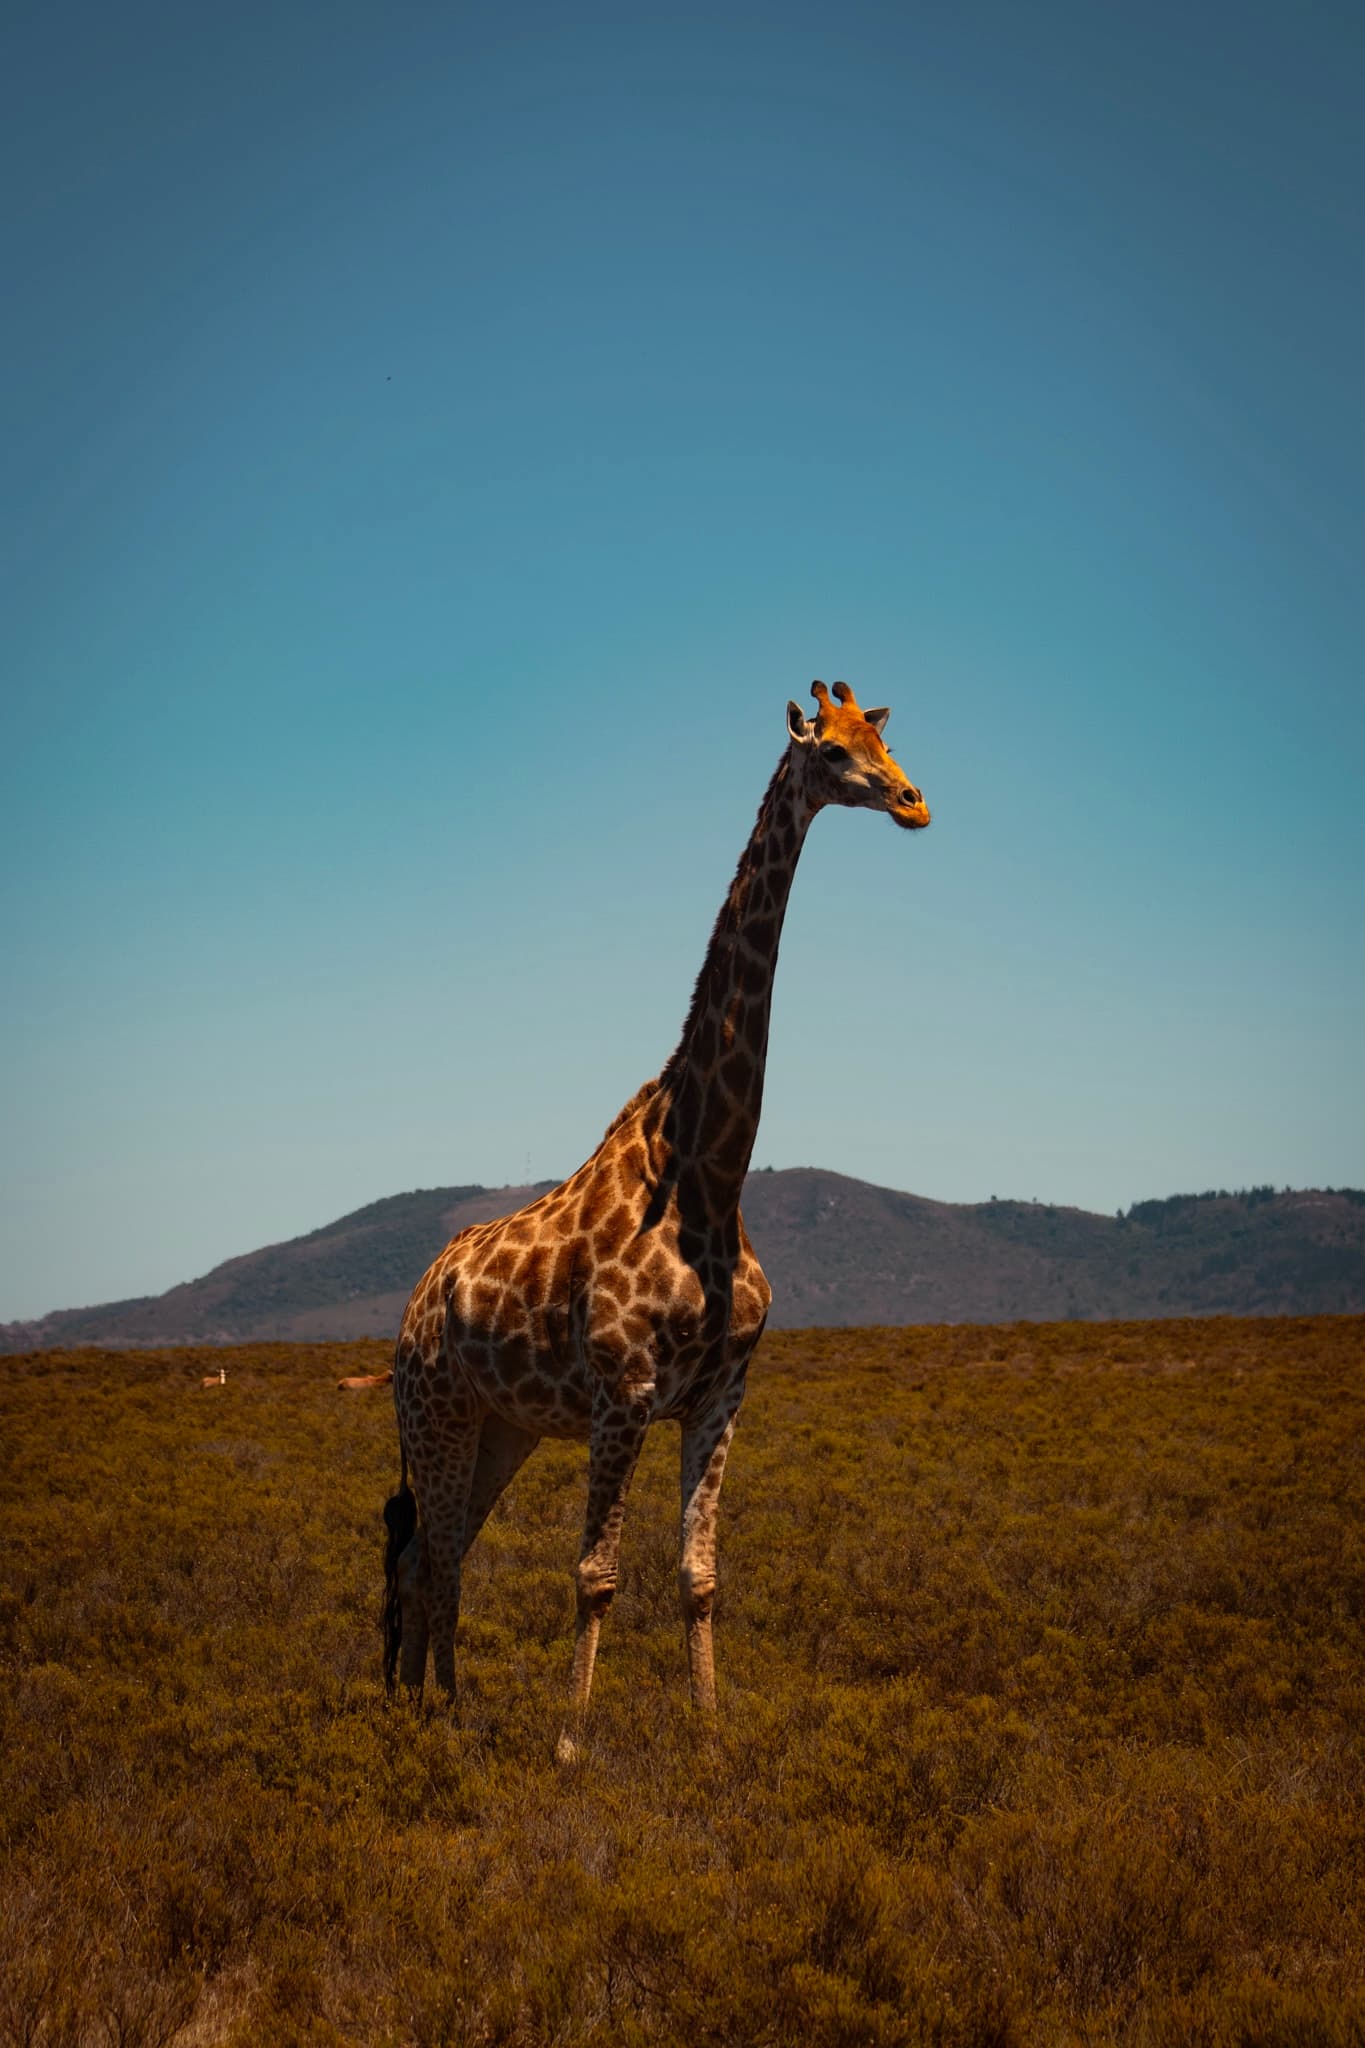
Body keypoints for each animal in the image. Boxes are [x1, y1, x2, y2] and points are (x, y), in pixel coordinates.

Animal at [382, 680, 929, 1755]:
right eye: (833, 753)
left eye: (885, 740)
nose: (912, 801)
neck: (709, 1173)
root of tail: (417, 1300)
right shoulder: (623, 1393)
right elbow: (595, 1577)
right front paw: (569, 1745)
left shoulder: (720, 1396)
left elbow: (699, 1576)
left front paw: (711, 1735)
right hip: (435, 1410)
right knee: (430, 1555)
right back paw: (430, 1717)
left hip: (500, 1425)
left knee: (441, 1552)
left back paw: (444, 1711)